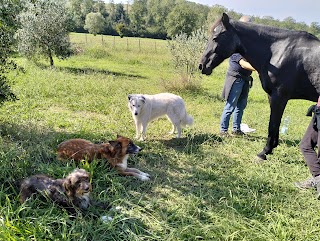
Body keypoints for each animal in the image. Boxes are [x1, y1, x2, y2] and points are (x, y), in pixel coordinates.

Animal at [199, 12, 318, 160]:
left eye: (215, 38)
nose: (202, 65)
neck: (278, 51)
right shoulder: (273, 97)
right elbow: (275, 124)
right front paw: (271, 147)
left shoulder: (279, 97)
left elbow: (273, 124)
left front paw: (264, 152)